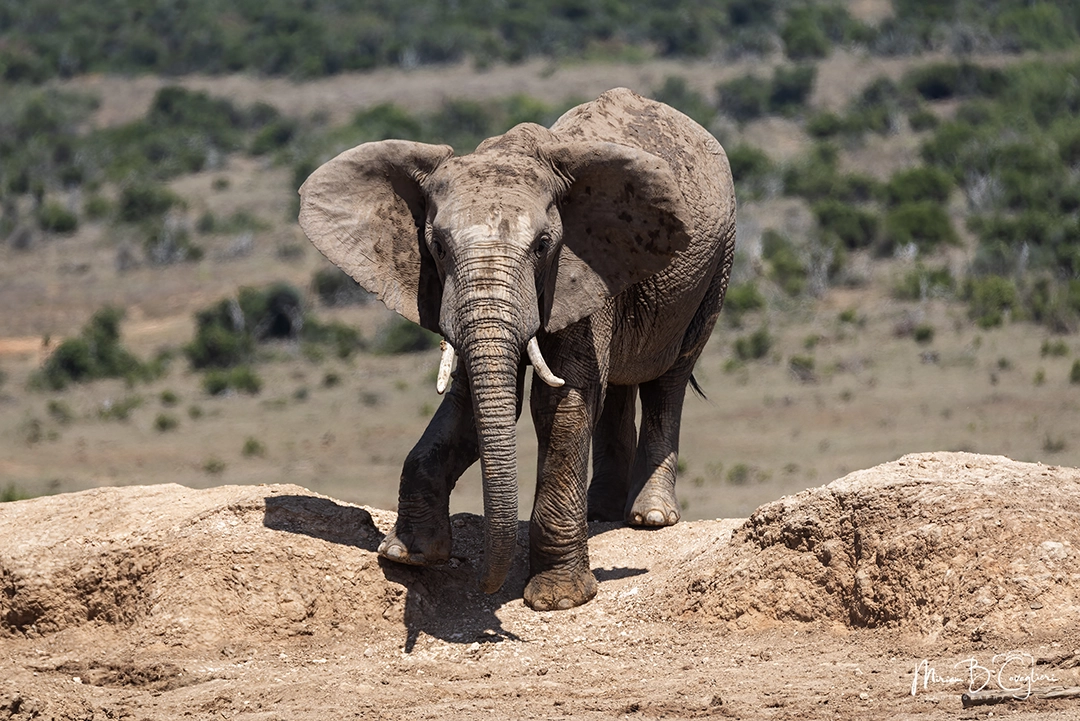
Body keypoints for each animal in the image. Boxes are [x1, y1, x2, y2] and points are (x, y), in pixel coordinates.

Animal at [298, 87, 736, 611]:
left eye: (543, 245)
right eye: (437, 247)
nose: (484, 581)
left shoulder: (580, 269)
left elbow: (560, 402)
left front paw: (558, 599)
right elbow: (472, 402)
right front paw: (409, 554)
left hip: (717, 266)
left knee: (668, 379)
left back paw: (649, 518)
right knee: (619, 384)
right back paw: (600, 512)